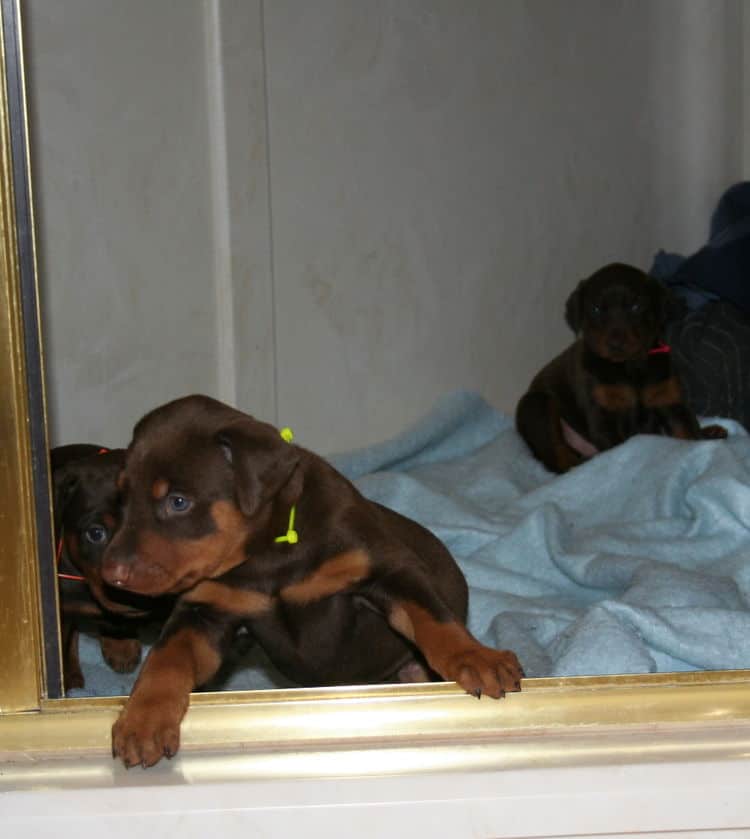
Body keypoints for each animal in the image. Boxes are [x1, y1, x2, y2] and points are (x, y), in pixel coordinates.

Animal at [98, 398, 524, 772]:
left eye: (178, 502)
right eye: (121, 497)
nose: (111, 573)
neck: (268, 550)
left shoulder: (384, 569)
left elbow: (432, 617)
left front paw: (477, 658)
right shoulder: (207, 610)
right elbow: (165, 658)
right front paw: (142, 721)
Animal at [516, 262, 728, 472]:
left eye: (636, 306)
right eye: (595, 309)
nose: (616, 343)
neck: (630, 366)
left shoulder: (670, 400)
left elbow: (688, 433)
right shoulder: (603, 415)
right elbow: (618, 448)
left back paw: (712, 431)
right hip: (538, 406)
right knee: (559, 458)